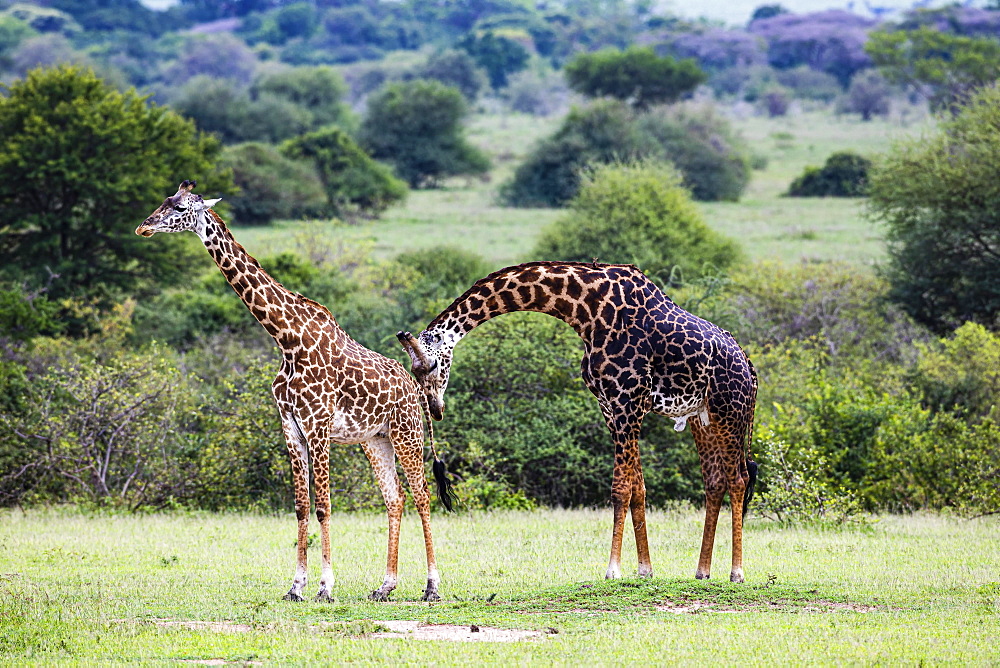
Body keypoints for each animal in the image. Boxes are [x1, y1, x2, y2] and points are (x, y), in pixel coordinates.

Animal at [136, 180, 454, 604]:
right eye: (164, 201)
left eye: (181, 208)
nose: (143, 226)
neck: (287, 339)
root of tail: (415, 386)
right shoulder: (290, 425)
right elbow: (302, 506)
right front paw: (295, 586)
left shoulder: (317, 425)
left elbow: (323, 506)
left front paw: (325, 586)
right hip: (376, 439)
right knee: (395, 497)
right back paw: (385, 585)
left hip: (407, 433)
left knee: (421, 495)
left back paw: (432, 586)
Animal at [398, 258, 756, 580]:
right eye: (414, 372)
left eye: (432, 366)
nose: (435, 408)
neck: (586, 312)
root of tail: (749, 367)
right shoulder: (610, 408)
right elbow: (638, 488)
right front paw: (644, 569)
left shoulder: (627, 402)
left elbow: (620, 488)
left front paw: (613, 570)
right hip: (702, 418)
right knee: (714, 481)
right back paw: (702, 571)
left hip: (731, 410)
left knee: (738, 479)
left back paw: (737, 572)